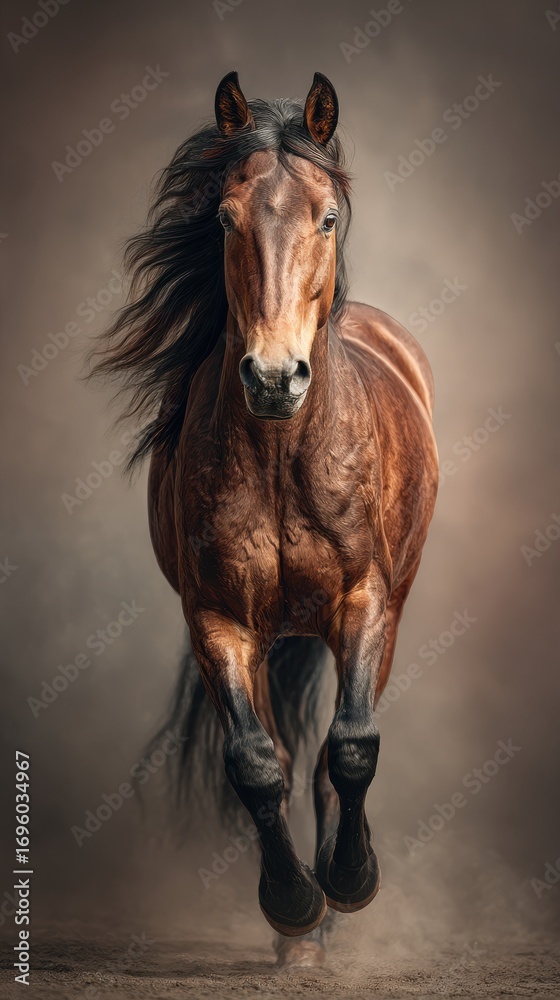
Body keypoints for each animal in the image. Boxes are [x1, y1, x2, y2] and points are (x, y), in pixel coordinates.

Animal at [91, 71, 438, 965]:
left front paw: (348, 884)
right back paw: (299, 939)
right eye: (224, 217)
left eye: (327, 216)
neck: (284, 455)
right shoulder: (218, 619)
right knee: (281, 753)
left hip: (389, 608)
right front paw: (291, 906)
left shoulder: (364, 602)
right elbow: (255, 763)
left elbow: (349, 747)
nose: (275, 377)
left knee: (330, 753)